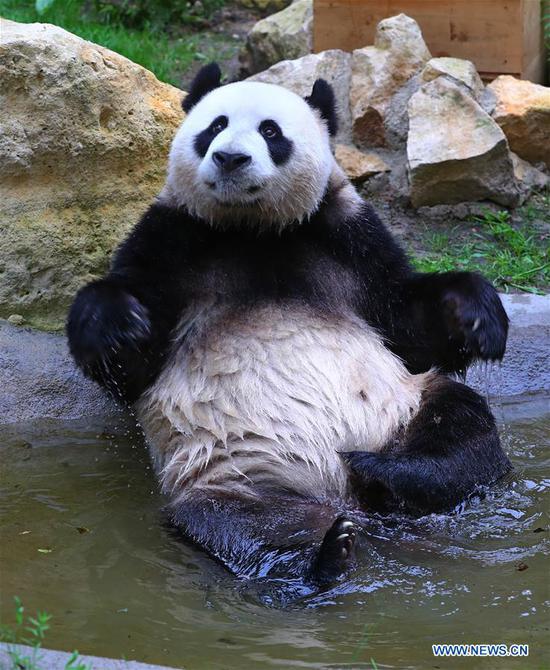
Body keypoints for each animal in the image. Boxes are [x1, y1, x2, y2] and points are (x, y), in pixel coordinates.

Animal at [67, 63, 511, 586]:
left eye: (270, 132)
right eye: (215, 126)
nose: (230, 158)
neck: (253, 230)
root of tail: (347, 499)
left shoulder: (345, 236)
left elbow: (406, 323)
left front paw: (477, 317)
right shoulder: (172, 237)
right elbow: (130, 366)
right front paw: (117, 325)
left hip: (401, 410)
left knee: (462, 430)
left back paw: (390, 473)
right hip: (234, 470)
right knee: (243, 523)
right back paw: (324, 558)